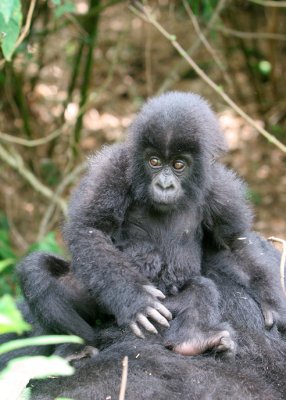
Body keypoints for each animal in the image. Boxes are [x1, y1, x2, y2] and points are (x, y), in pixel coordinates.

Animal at [17, 93, 286, 356]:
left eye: (178, 165)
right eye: (154, 162)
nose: (164, 185)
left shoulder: (222, 190)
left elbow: (232, 245)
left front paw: (272, 301)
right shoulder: (113, 167)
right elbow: (91, 230)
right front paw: (135, 299)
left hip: (169, 304)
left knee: (200, 289)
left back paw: (195, 339)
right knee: (37, 272)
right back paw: (77, 346)